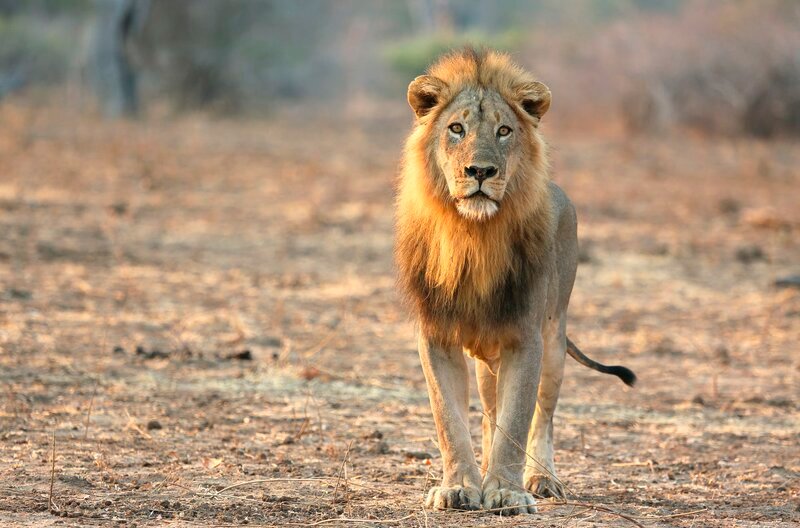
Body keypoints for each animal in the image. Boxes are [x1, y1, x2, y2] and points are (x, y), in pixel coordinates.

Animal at [394, 49, 636, 515]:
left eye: (504, 130)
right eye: (456, 128)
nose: (480, 171)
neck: (473, 237)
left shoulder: (525, 337)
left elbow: (519, 417)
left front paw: (506, 491)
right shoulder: (436, 336)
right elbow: (450, 420)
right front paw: (458, 487)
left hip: (554, 338)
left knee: (543, 416)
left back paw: (542, 478)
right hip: (488, 358)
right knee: (490, 414)